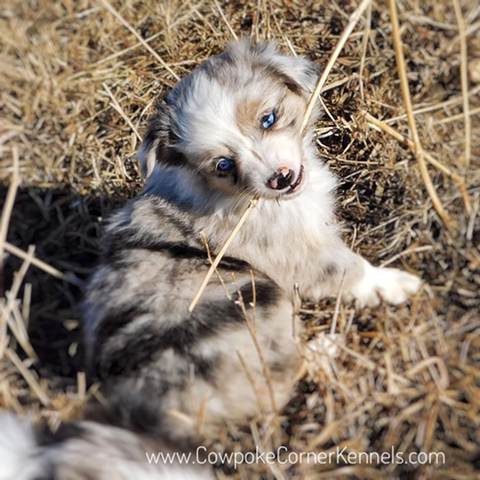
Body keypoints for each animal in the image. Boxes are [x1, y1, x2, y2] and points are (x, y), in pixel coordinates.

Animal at [0, 38, 420, 480]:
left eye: (269, 119)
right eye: (223, 165)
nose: (282, 178)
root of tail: (150, 410)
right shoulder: (298, 254)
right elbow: (350, 271)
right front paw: (398, 284)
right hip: (255, 299)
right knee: (277, 380)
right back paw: (327, 346)